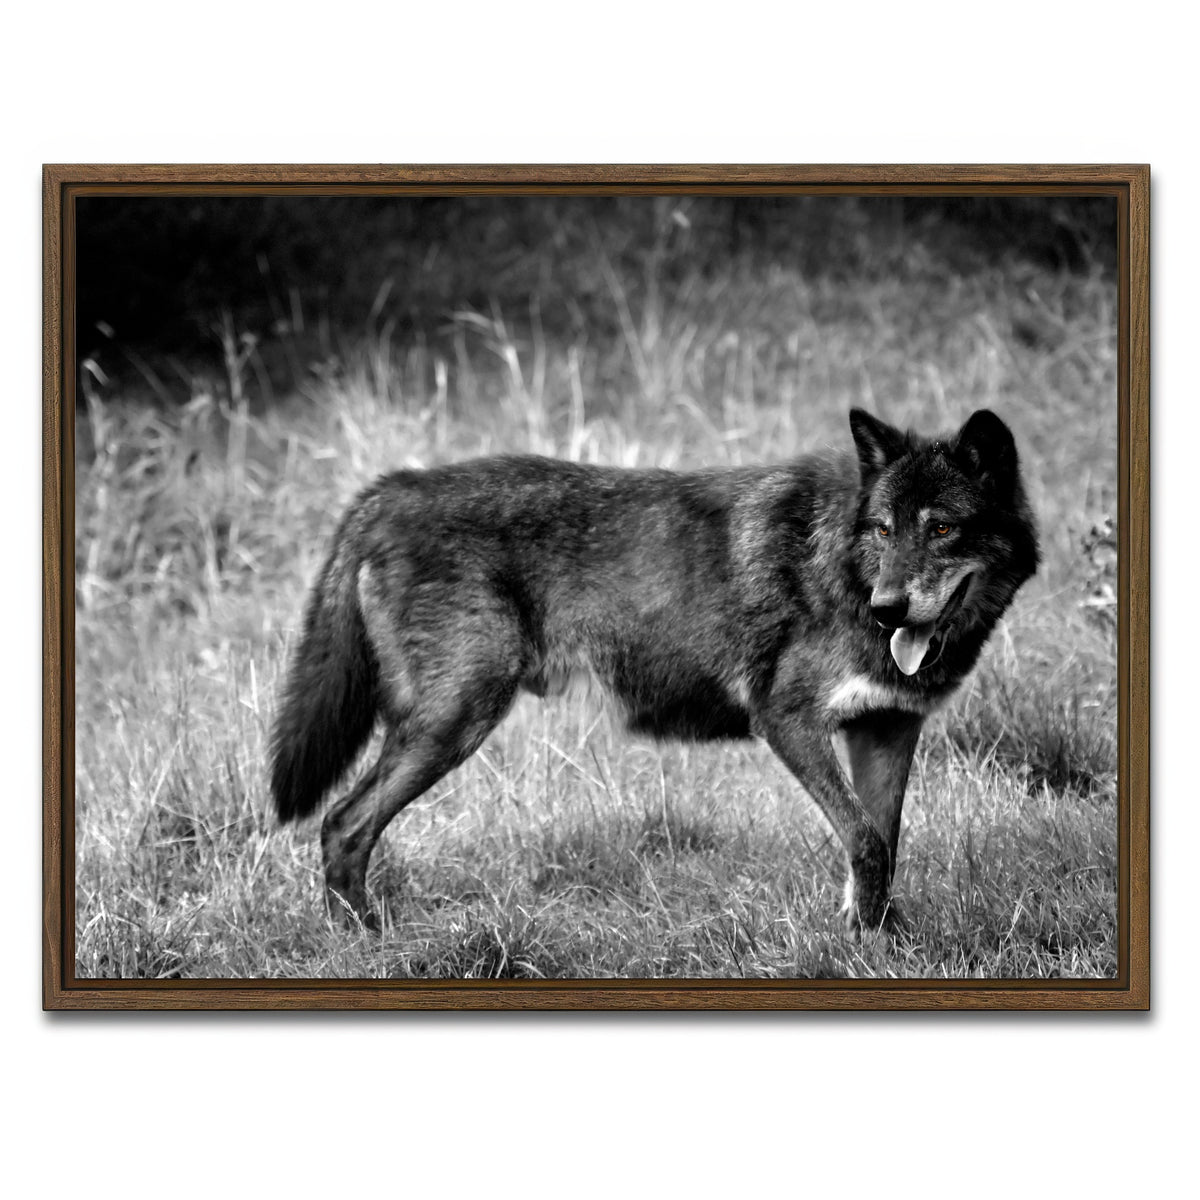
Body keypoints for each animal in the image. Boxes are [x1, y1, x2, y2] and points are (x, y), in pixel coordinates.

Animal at [270, 408, 1038, 936]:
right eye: (882, 528)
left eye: (941, 529)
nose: (887, 609)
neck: (843, 570)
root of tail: (390, 489)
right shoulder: (787, 720)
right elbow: (865, 840)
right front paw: (863, 945)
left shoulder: (885, 728)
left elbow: (883, 844)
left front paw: (877, 942)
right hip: (453, 723)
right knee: (342, 824)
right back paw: (366, 941)